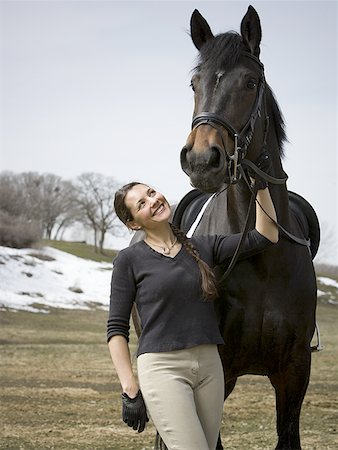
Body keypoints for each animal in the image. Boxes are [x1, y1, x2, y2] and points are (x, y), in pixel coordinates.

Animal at [174, 4, 320, 450]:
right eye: (194, 83)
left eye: (251, 82)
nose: (202, 160)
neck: (261, 258)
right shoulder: (216, 367)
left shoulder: (294, 371)